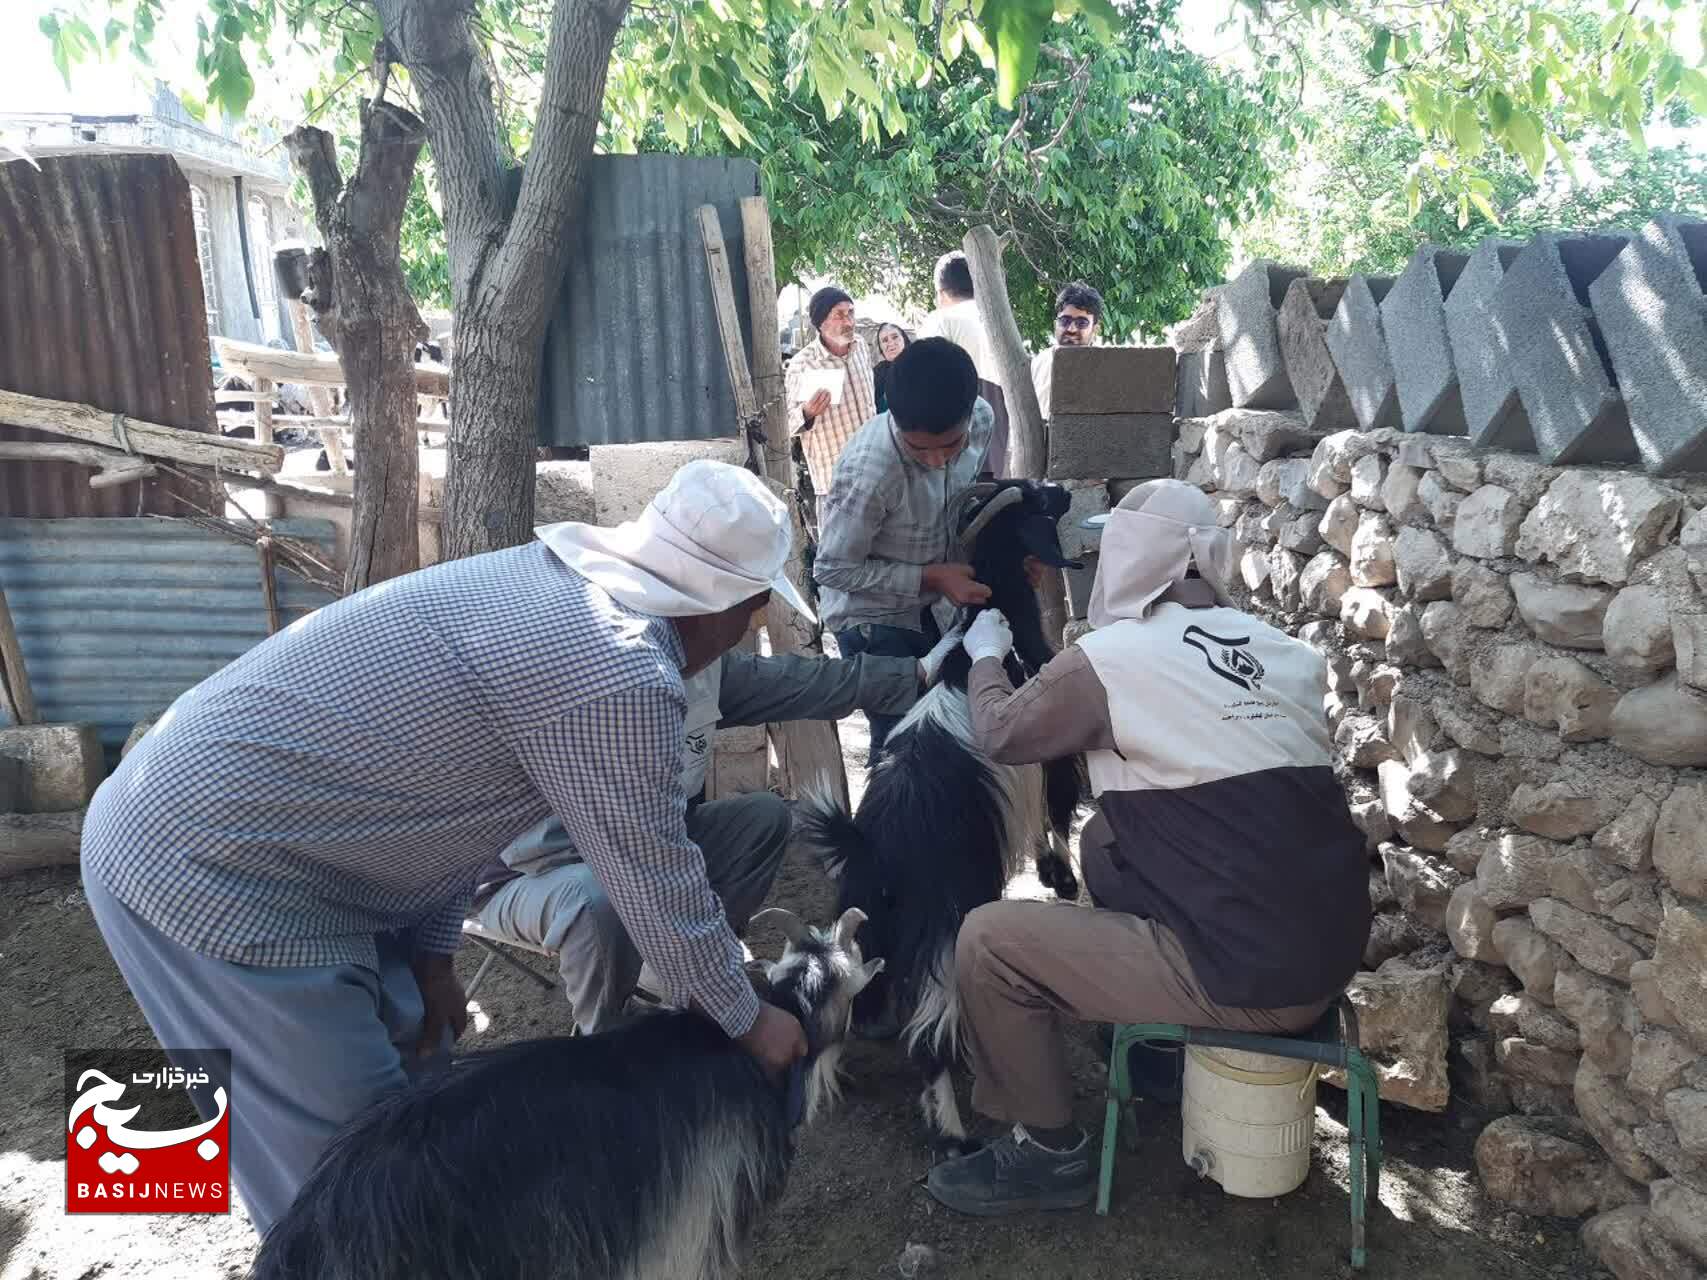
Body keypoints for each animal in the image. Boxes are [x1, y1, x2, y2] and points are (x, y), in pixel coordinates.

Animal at [795, 477, 1078, 1160]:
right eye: (1035, 500)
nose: (1062, 488)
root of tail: (870, 848)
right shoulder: (1050, 748)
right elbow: (1056, 812)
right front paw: (1061, 877)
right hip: (944, 934)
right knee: (929, 1036)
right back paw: (952, 1133)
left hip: (868, 927)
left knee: (851, 996)